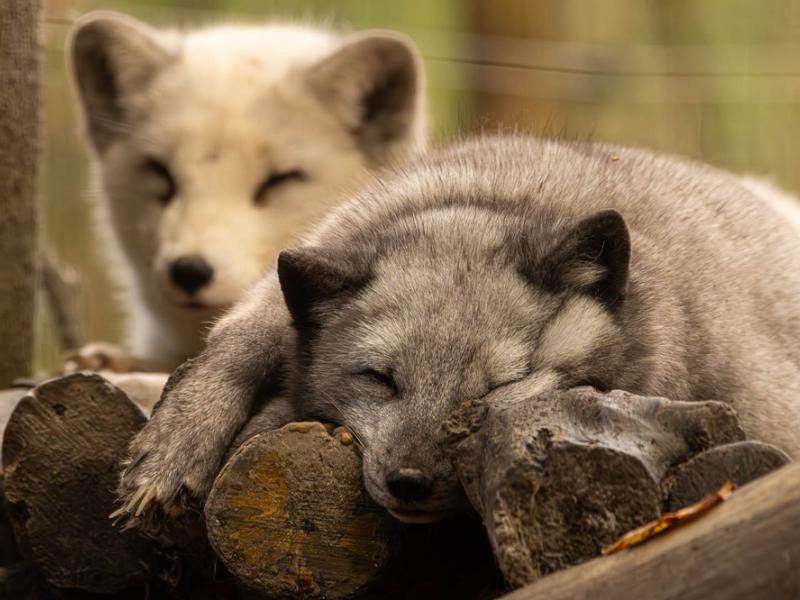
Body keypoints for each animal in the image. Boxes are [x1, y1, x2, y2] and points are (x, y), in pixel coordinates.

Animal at [114, 135, 800, 526]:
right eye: (379, 379)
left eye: (501, 387)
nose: (410, 483)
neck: (496, 198)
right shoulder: (299, 267)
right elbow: (234, 345)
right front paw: (172, 453)